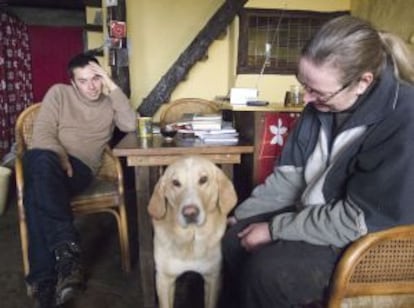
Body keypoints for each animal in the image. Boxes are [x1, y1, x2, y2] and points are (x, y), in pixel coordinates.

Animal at [148, 155, 238, 308]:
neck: (190, 238)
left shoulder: (213, 278)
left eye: (203, 179)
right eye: (175, 183)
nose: (190, 213)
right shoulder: (164, 279)